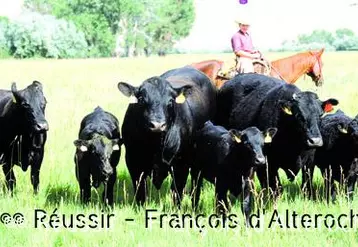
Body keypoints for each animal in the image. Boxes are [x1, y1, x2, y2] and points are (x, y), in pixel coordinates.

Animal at [117, 66, 215, 206]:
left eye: (171, 101)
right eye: (141, 100)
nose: (157, 125)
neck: (155, 145)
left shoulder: (181, 165)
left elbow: (177, 193)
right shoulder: (133, 161)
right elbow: (141, 193)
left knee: (196, 185)